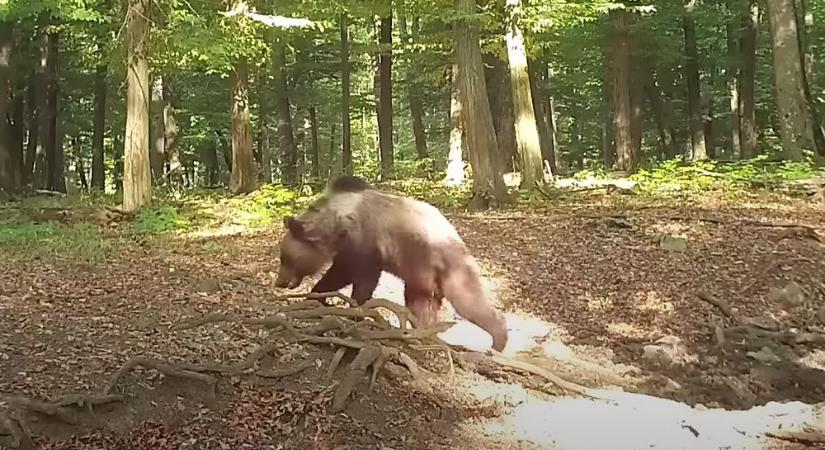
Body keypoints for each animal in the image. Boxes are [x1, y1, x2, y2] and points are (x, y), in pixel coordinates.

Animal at [276, 176, 506, 352]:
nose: (279, 281)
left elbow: (356, 278)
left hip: (438, 263)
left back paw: (498, 339)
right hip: (425, 274)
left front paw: (351, 309)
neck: (336, 225)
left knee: (467, 300)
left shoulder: (363, 244)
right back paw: (422, 330)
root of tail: (455, 235)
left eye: (285, 257)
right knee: (422, 302)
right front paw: (321, 298)